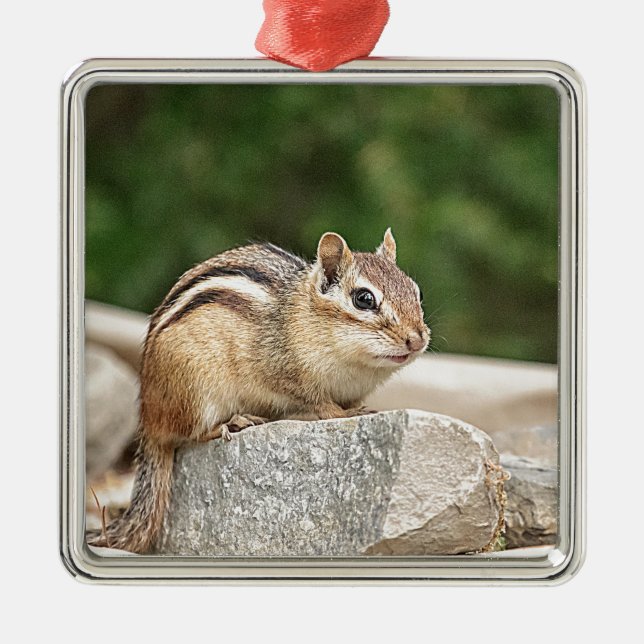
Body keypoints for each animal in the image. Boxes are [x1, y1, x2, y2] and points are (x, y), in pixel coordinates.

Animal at [87, 229, 430, 553]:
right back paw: (231, 423)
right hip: (196, 391)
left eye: (416, 291)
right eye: (364, 299)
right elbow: (320, 404)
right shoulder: (286, 374)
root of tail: (148, 420)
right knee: (190, 433)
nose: (417, 339)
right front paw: (345, 412)